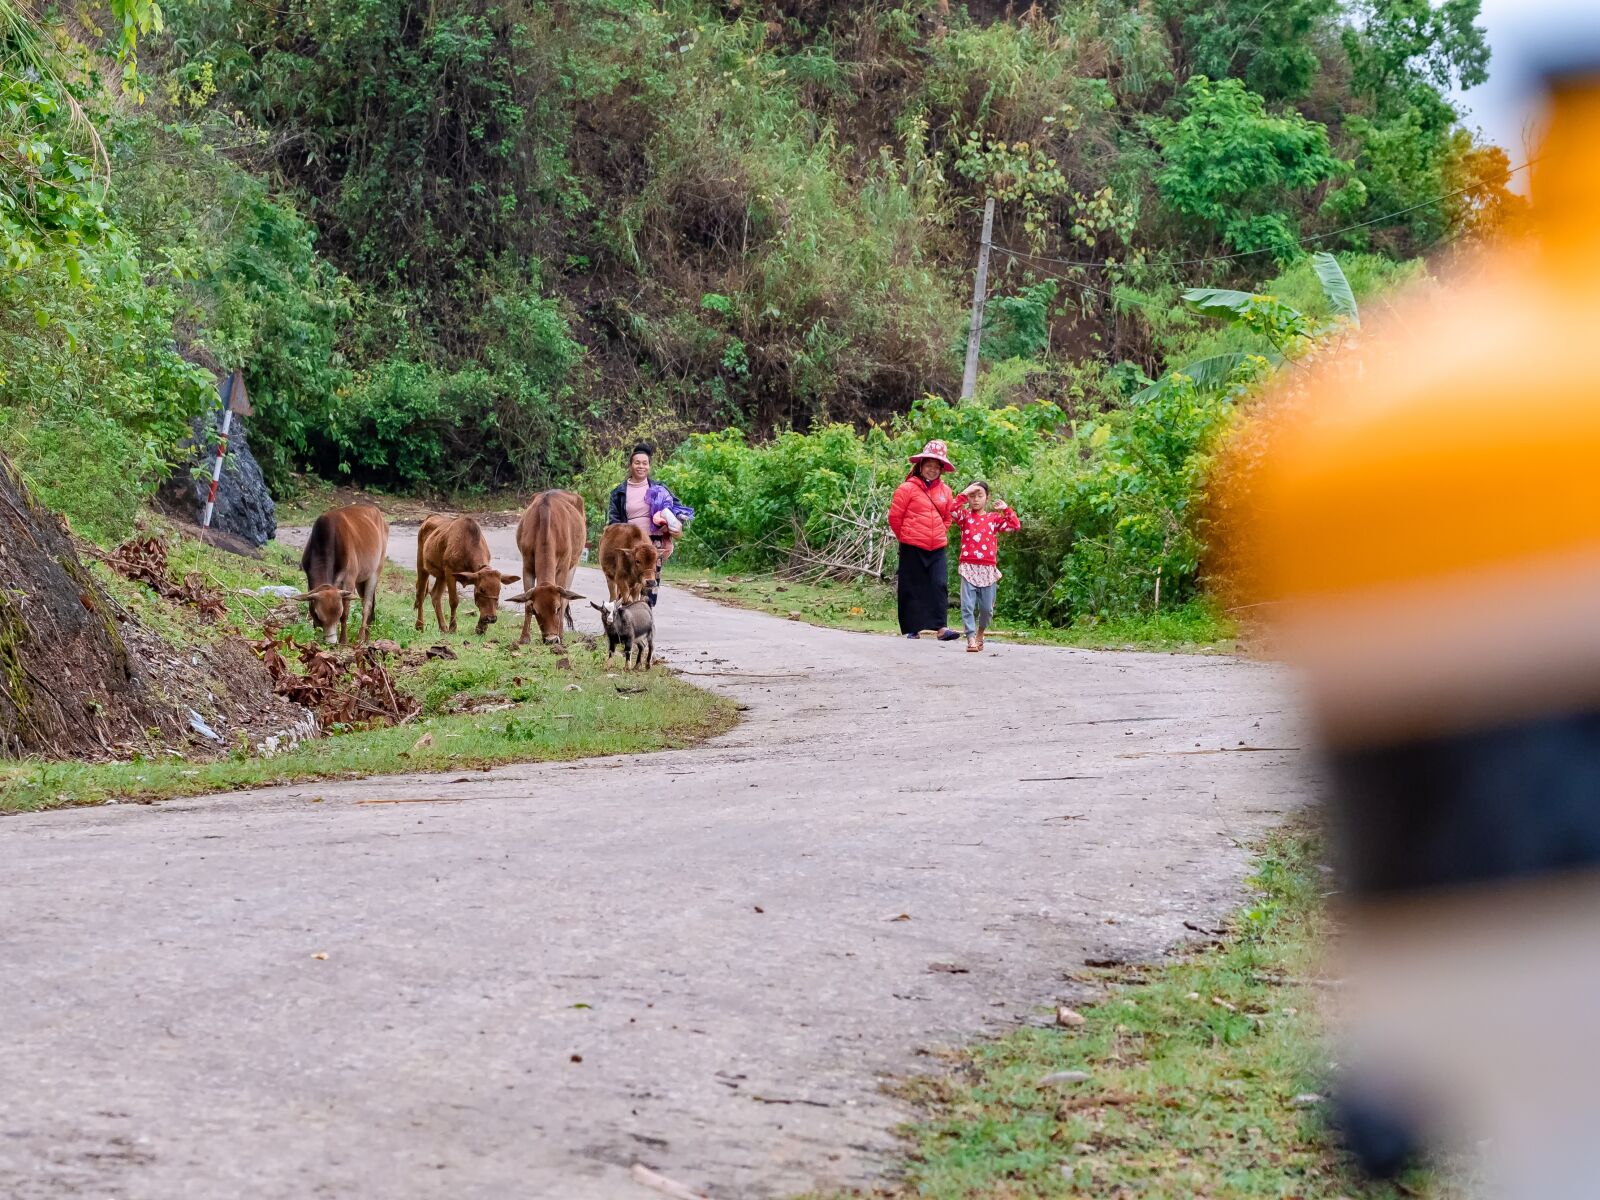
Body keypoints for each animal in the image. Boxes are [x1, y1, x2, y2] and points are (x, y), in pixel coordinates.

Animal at [299, 499, 388, 643]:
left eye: (338, 612)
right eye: (318, 615)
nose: (331, 642)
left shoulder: (349, 581)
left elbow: (346, 614)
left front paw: (343, 640)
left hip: (376, 571)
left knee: (367, 605)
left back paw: (360, 638)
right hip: (361, 580)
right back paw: (367, 637)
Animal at [502, 486, 585, 643]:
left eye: (556, 609)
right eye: (536, 611)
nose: (551, 639)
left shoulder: (563, 568)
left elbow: (563, 600)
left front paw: (560, 637)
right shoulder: (527, 567)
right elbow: (526, 604)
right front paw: (524, 638)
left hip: (574, 565)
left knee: (567, 599)